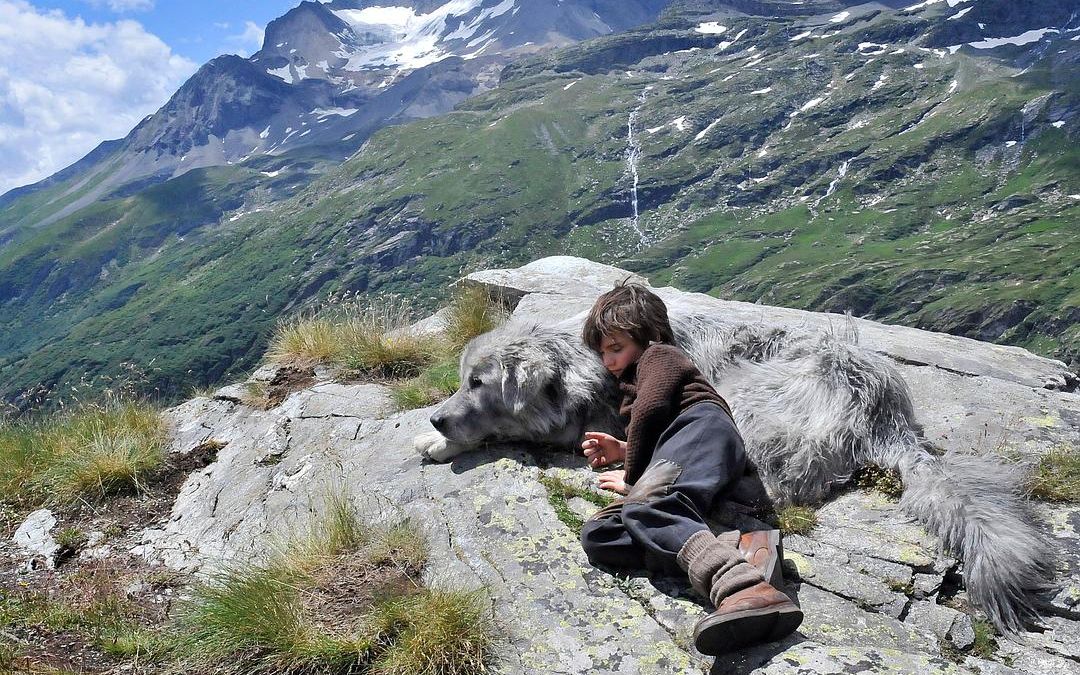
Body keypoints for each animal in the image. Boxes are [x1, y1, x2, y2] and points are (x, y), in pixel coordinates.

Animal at [414, 317, 1054, 630]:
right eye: (463, 378)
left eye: (479, 383)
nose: (436, 414)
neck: (582, 365)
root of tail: (886, 405)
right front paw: (435, 434)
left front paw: (437, 438)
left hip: (744, 402)